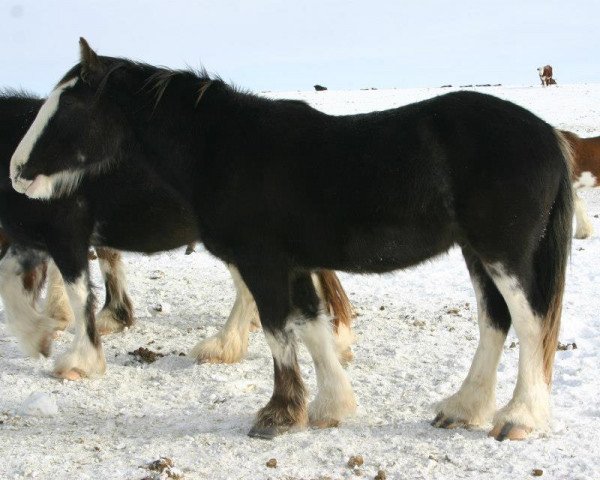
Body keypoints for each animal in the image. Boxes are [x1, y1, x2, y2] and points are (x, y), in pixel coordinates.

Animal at [9, 39, 572, 440]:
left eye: (69, 107)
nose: (17, 172)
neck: (227, 150)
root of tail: (546, 134)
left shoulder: (263, 263)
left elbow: (279, 331)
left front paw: (279, 415)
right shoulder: (294, 263)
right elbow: (313, 327)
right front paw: (329, 407)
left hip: (504, 254)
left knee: (530, 322)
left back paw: (519, 418)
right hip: (477, 253)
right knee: (495, 321)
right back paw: (463, 407)